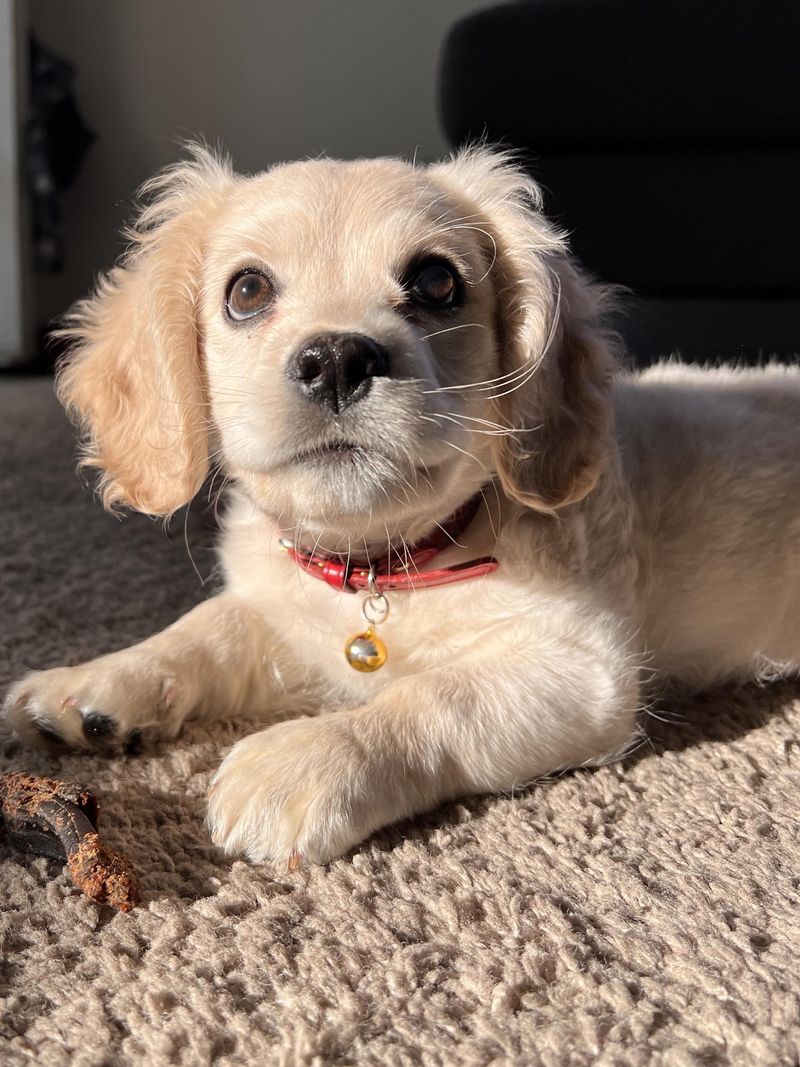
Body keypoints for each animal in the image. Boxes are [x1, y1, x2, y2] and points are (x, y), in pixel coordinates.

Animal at [3, 148, 797, 866]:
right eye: (248, 290)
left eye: (436, 281)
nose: (337, 360)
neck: (384, 566)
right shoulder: (282, 611)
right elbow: (205, 629)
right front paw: (94, 683)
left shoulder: (583, 670)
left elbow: (433, 696)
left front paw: (305, 758)